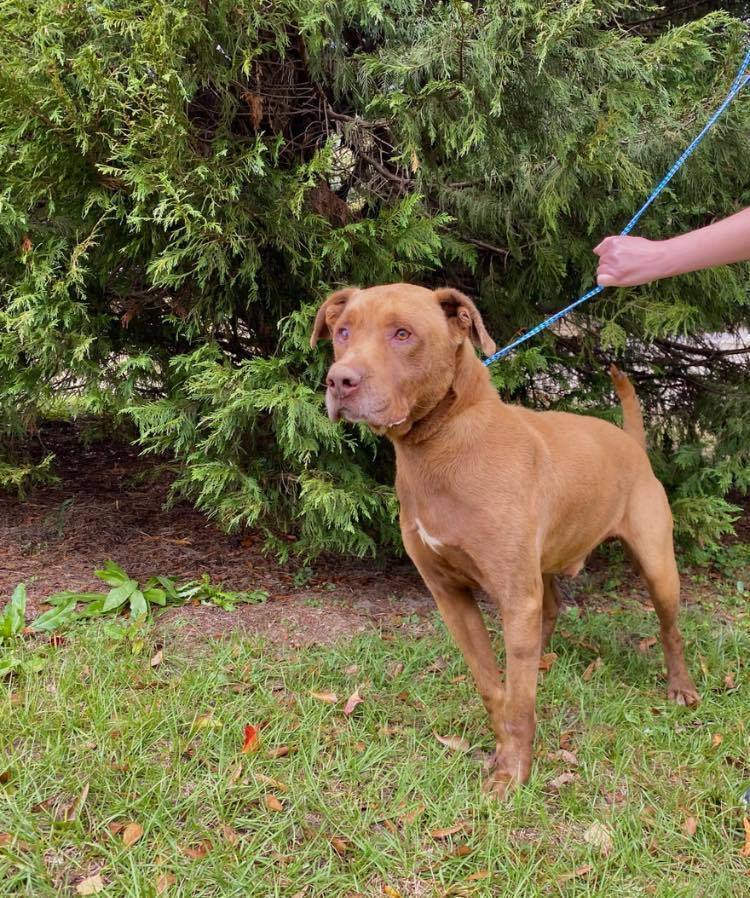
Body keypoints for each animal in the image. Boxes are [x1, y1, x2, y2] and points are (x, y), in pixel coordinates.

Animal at [310, 284, 700, 796]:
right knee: (550, 611)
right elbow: (493, 687)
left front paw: (513, 772)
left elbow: (518, 701)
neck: (443, 442)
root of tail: (632, 443)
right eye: (342, 332)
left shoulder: (514, 594)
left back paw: (680, 686)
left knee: (670, 629)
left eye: (403, 334)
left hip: (657, 566)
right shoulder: (450, 594)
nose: (339, 381)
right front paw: (502, 751)